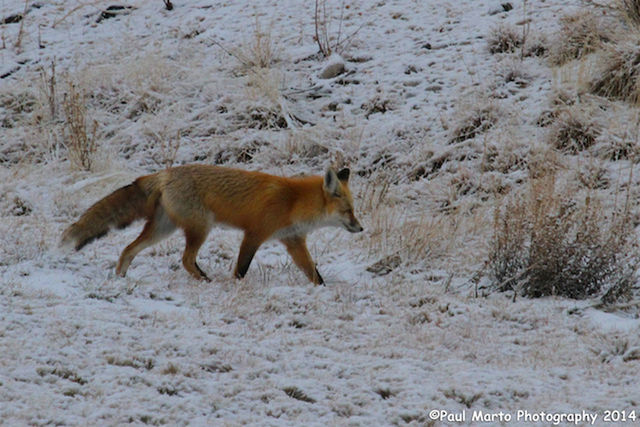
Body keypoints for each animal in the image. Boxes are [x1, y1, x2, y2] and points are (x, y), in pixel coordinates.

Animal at [62, 166, 362, 286]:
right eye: (348, 211)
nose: (361, 228)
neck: (293, 202)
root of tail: (164, 173)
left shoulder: (293, 241)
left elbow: (314, 273)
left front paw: (323, 290)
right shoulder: (254, 234)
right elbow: (241, 268)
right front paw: (235, 287)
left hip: (163, 230)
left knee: (128, 249)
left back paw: (120, 278)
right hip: (200, 228)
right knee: (185, 259)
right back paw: (205, 280)